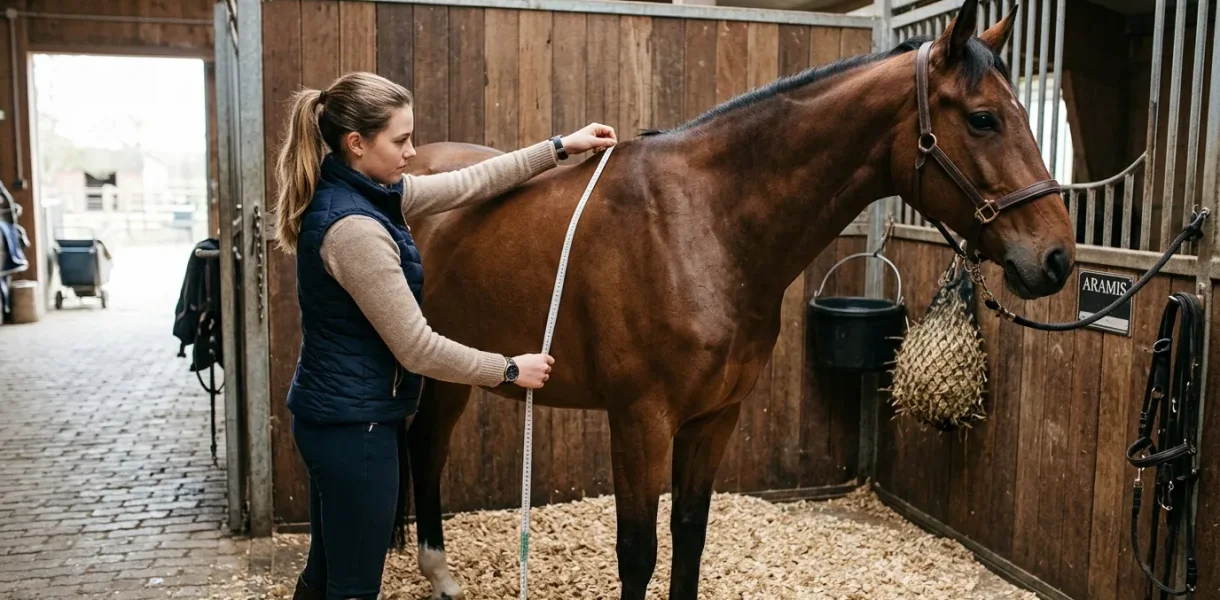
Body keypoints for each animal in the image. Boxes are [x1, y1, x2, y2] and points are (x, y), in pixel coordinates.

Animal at [402, 1, 1075, 598]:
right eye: (984, 119)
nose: (1057, 258)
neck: (700, 225)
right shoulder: (640, 420)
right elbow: (638, 553)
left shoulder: (715, 418)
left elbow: (690, 538)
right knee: (424, 451)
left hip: (454, 370)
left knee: (426, 449)